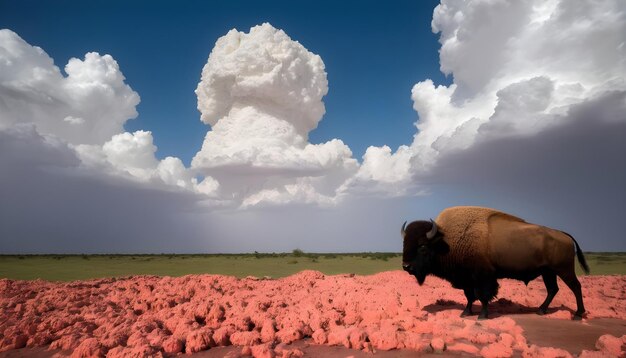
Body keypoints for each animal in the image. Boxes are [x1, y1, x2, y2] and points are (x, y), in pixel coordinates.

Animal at [402, 206, 588, 320]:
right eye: (404, 243)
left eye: (422, 246)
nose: (406, 266)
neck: (446, 241)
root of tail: (563, 234)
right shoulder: (467, 279)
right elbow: (469, 296)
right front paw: (466, 313)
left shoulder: (483, 277)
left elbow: (483, 296)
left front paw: (482, 316)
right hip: (548, 272)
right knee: (553, 289)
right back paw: (541, 310)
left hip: (563, 270)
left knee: (576, 287)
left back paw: (578, 314)